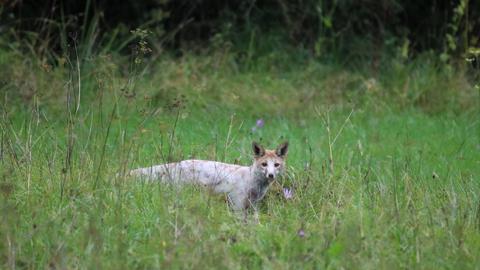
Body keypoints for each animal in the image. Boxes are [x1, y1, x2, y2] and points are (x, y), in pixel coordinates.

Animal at [127, 141, 288, 211]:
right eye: (264, 164)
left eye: (276, 165)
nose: (271, 175)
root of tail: (179, 163)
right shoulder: (237, 205)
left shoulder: (253, 206)